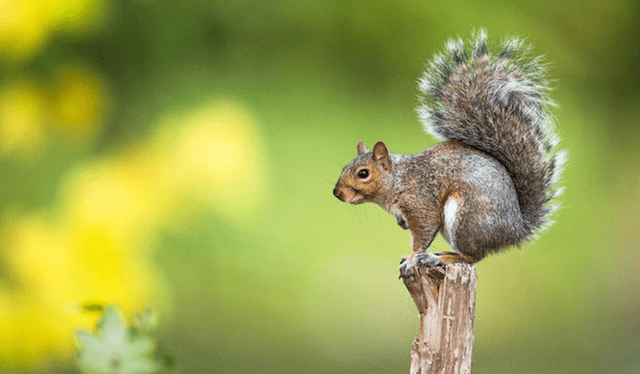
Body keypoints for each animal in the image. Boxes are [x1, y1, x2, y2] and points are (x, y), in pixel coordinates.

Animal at [332, 28, 568, 268]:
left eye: (363, 173)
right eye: (344, 168)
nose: (336, 193)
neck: (397, 181)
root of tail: (515, 231)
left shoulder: (420, 203)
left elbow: (424, 232)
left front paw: (412, 258)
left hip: (466, 218)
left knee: (474, 256)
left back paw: (443, 257)